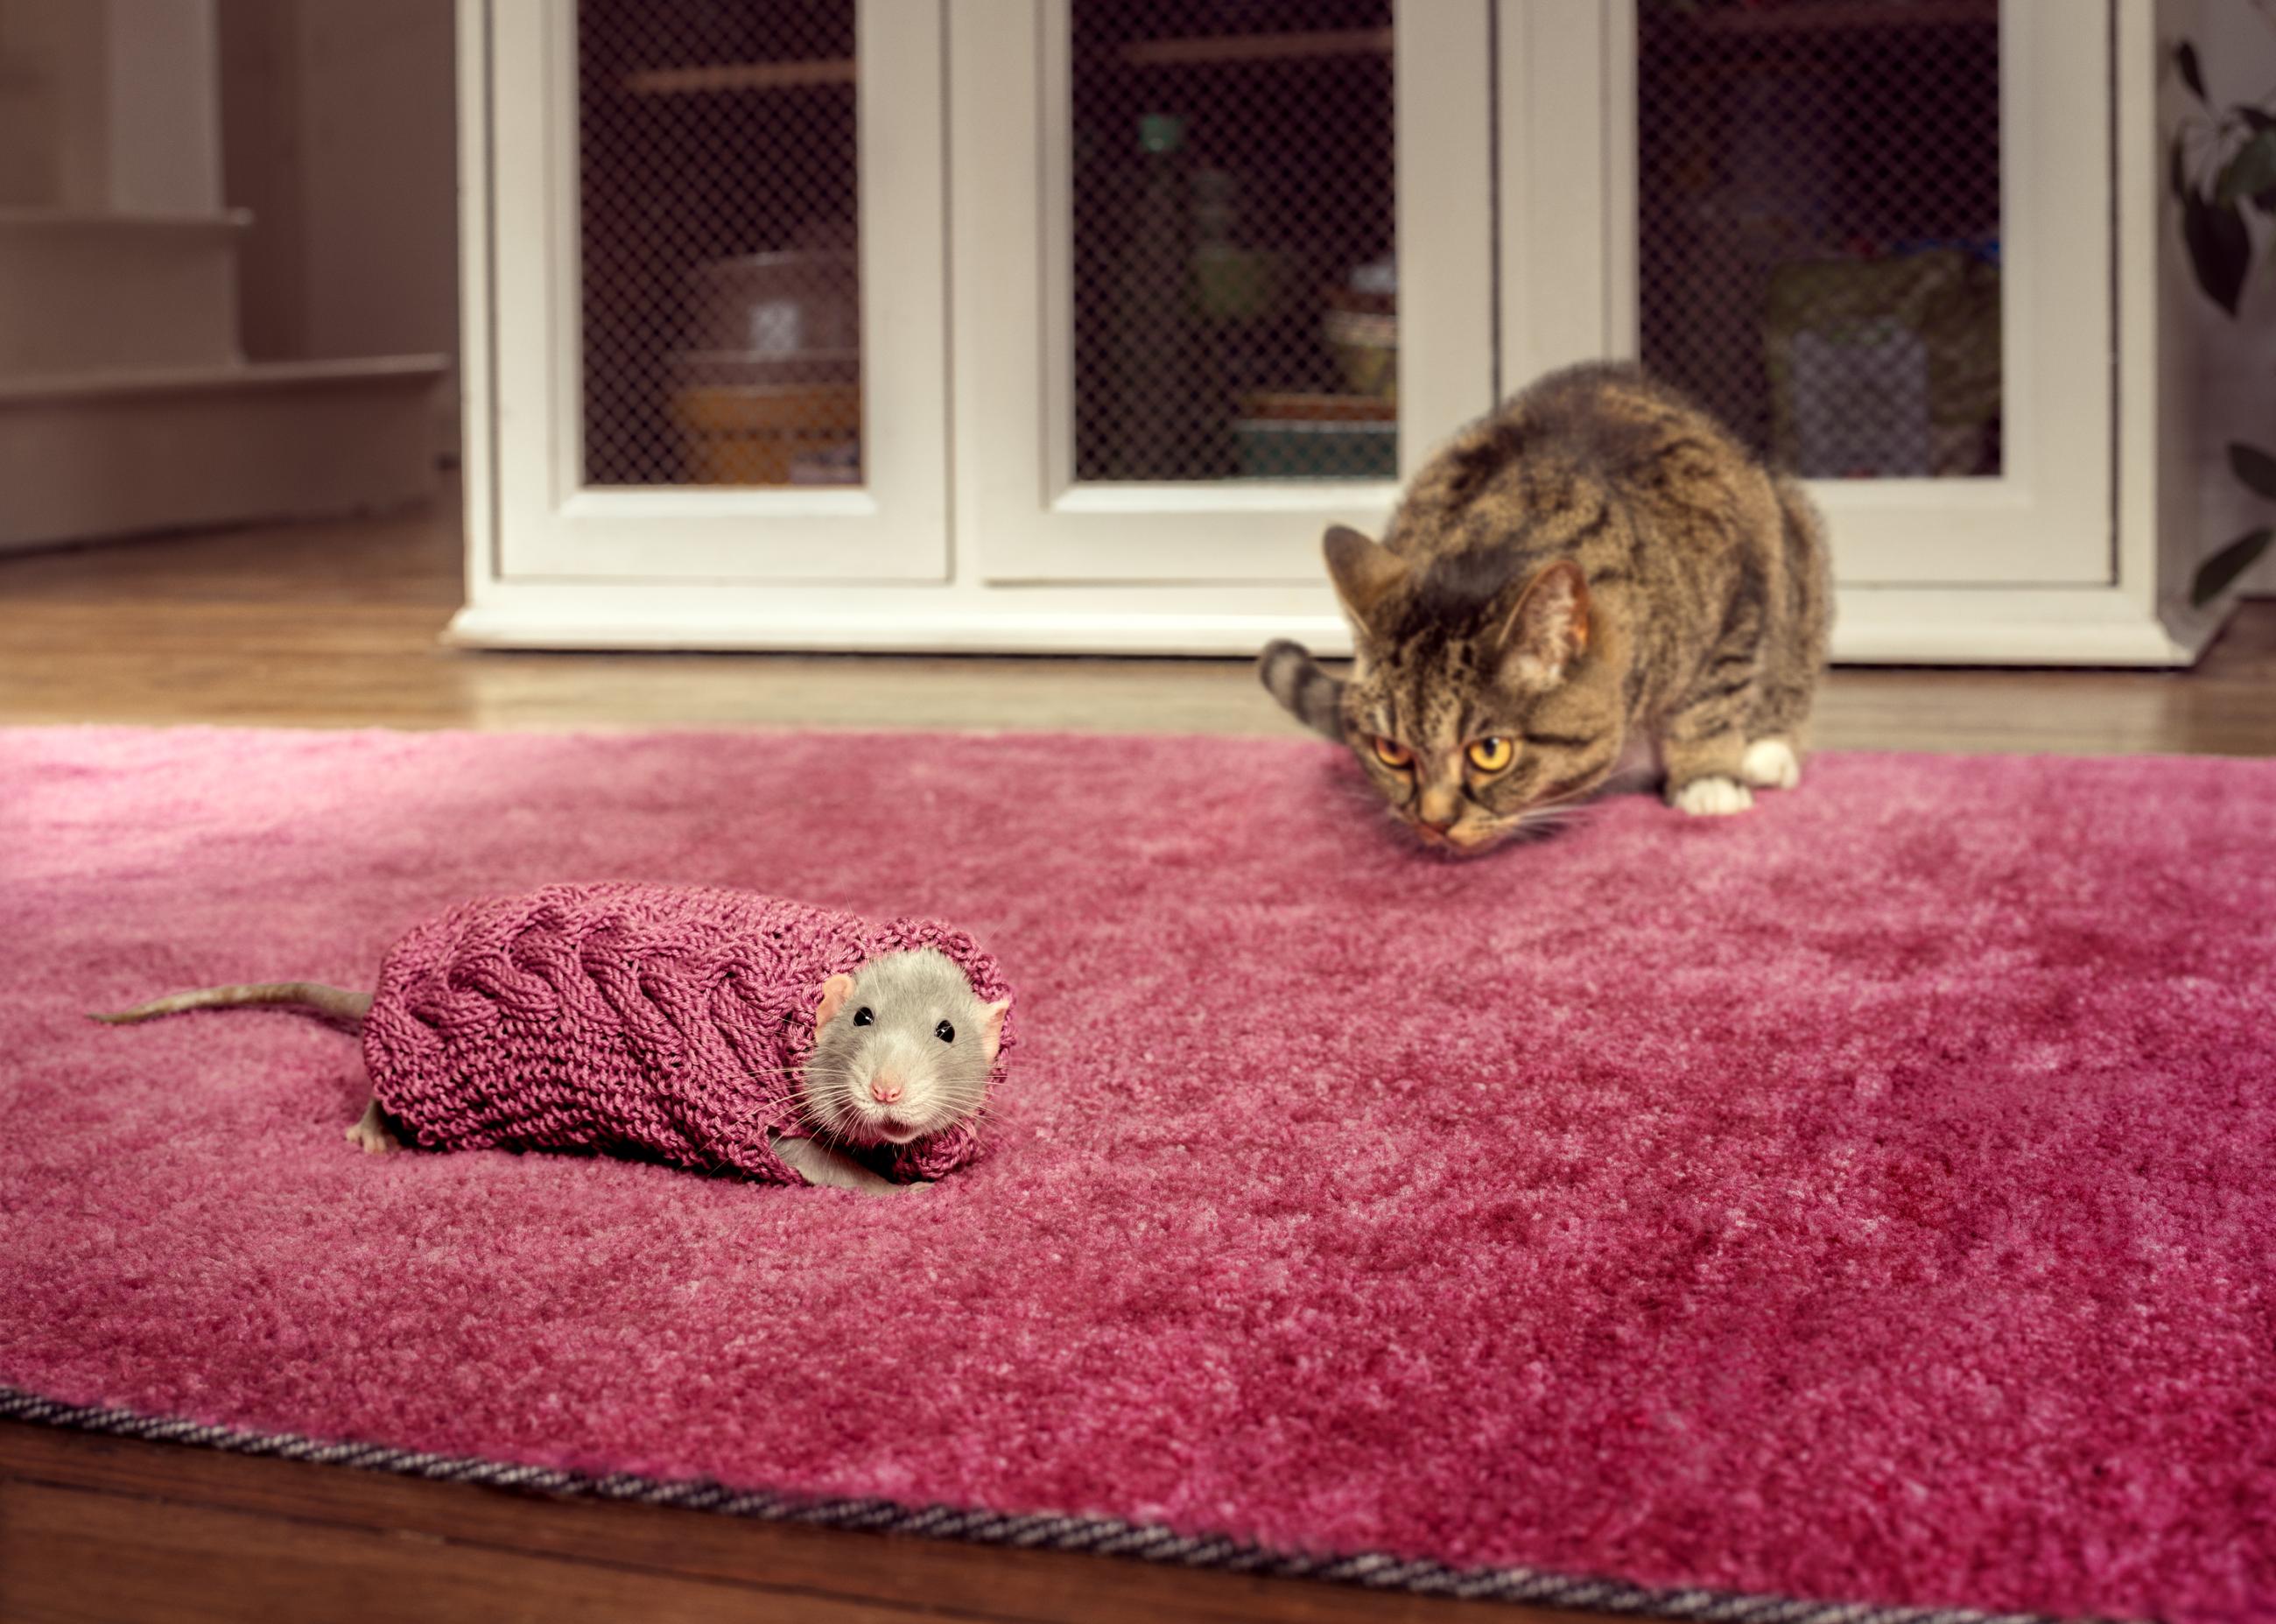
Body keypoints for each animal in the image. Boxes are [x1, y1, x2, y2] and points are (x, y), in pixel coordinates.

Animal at [1259, 362, 1831, 853]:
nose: (1433, 822)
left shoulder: (1739, 589)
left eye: (1490, 752)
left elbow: (1713, 697)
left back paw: (1766, 752)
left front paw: (1708, 780)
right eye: (1392, 752)